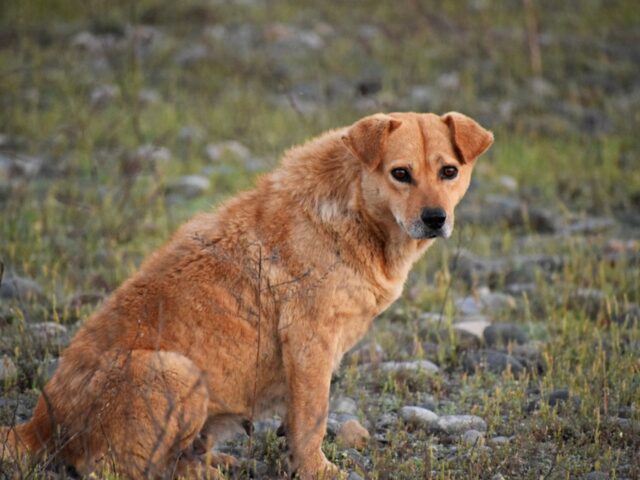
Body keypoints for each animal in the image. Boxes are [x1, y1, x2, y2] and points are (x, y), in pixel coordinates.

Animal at [0, 111, 492, 476]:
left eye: (449, 171)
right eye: (400, 174)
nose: (434, 218)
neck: (355, 210)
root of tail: (38, 424)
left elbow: (298, 421)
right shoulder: (310, 340)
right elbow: (313, 420)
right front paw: (317, 470)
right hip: (175, 371)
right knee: (120, 469)